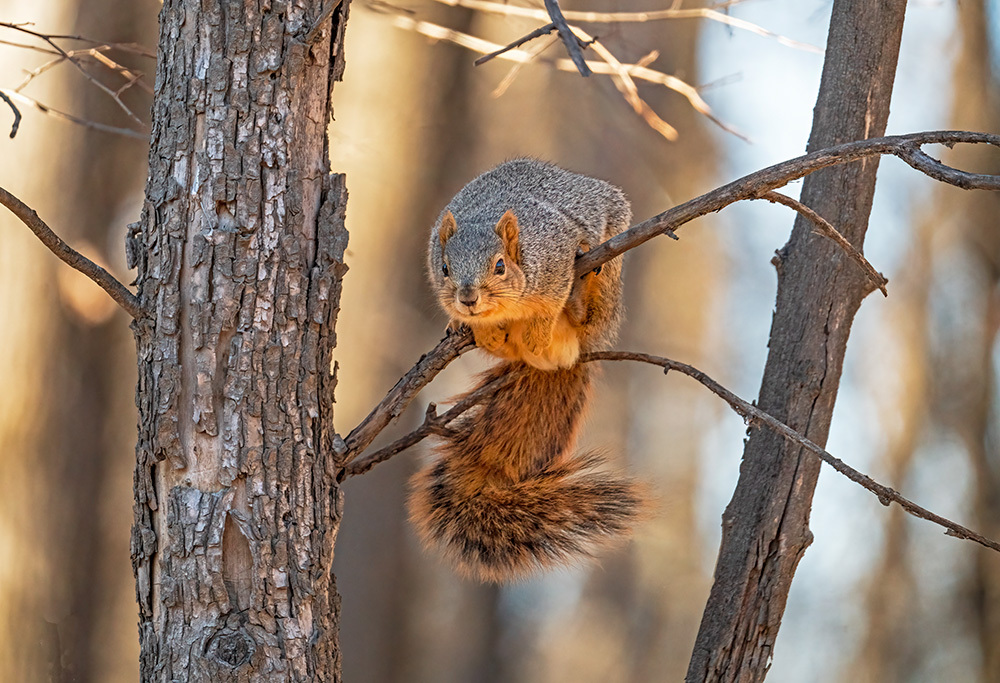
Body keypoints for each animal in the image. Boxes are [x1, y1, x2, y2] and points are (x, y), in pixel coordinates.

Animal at [408, 158, 645, 582]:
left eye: (501, 266)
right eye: (445, 267)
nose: (468, 299)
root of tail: (573, 355)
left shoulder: (553, 257)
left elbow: (545, 314)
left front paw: (536, 329)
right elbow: (488, 333)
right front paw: (479, 329)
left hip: (608, 285)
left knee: (581, 315)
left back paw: (577, 302)